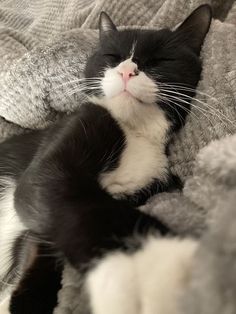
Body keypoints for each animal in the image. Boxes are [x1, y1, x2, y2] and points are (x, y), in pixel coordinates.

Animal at [0, 4, 212, 314]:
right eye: (112, 56)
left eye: (160, 60)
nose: (126, 71)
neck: (136, 132)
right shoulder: (75, 128)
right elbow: (64, 197)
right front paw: (155, 264)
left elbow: (42, 243)